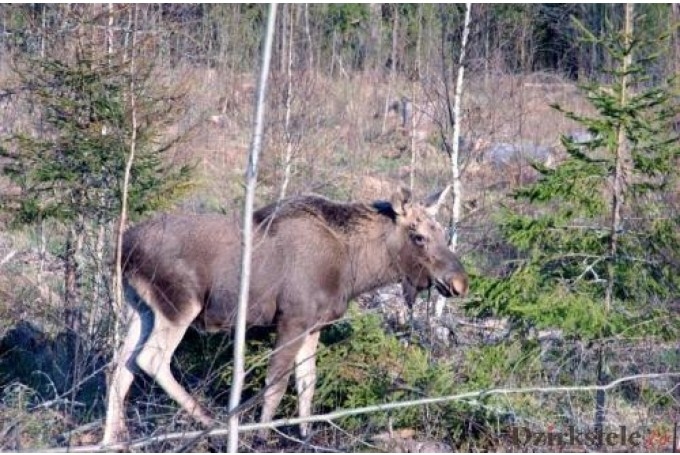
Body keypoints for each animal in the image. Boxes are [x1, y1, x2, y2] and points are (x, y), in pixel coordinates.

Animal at [102, 188, 468, 446]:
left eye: (441, 232)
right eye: (419, 236)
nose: (460, 282)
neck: (355, 267)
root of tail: (121, 248)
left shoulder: (314, 325)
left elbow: (307, 382)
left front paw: (304, 437)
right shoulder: (292, 319)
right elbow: (276, 383)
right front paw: (263, 436)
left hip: (141, 308)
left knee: (121, 366)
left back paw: (112, 440)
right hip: (179, 305)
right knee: (149, 361)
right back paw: (213, 424)